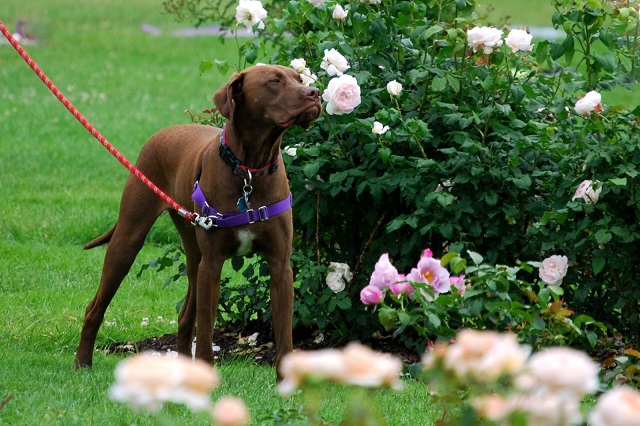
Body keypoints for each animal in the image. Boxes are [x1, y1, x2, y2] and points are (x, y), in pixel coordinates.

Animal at [74, 65, 322, 374]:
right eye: (274, 81)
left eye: (299, 79)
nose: (315, 93)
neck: (249, 169)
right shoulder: (213, 264)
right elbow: (205, 334)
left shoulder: (280, 266)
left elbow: (285, 337)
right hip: (129, 240)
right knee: (95, 307)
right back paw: (82, 362)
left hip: (193, 256)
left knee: (184, 316)